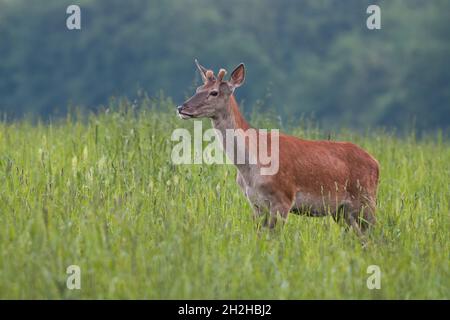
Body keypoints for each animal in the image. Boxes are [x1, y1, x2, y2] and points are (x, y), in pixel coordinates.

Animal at [177, 60, 380, 235]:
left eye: (214, 92)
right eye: (198, 88)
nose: (182, 108)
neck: (249, 167)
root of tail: (376, 163)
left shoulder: (283, 198)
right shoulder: (256, 203)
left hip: (365, 199)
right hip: (342, 211)